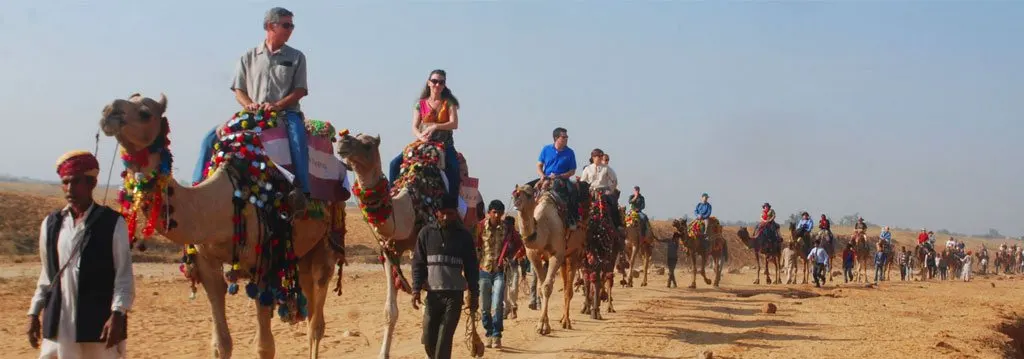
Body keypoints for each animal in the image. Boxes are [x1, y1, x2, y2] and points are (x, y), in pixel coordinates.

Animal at [98, 93, 339, 359]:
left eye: (144, 112)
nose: (108, 112)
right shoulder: (207, 264)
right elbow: (221, 344)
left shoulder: (264, 263)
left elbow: (265, 347)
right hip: (302, 253)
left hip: (326, 241)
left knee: (317, 317)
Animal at [509, 181, 585, 335]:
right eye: (515, 191)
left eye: (529, 193)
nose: (516, 196)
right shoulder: (533, 255)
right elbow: (541, 288)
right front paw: (543, 323)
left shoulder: (557, 254)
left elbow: (547, 287)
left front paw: (543, 326)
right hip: (564, 258)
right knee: (565, 284)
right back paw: (562, 319)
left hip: (574, 252)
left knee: (568, 288)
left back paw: (567, 321)